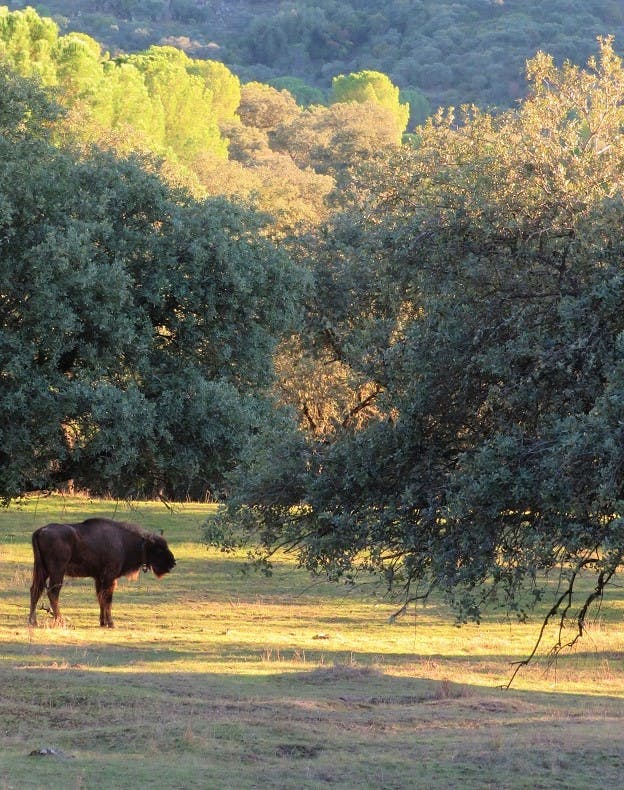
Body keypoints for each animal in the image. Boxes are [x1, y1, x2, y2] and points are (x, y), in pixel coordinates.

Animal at [28, 520, 176, 632]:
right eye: (159, 548)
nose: (173, 563)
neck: (123, 541)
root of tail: (40, 531)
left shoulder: (99, 578)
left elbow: (101, 598)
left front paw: (103, 622)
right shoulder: (110, 578)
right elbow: (107, 600)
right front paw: (111, 623)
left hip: (42, 569)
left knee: (35, 590)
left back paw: (33, 621)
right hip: (57, 571)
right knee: (52, 593)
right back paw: (60, 621)